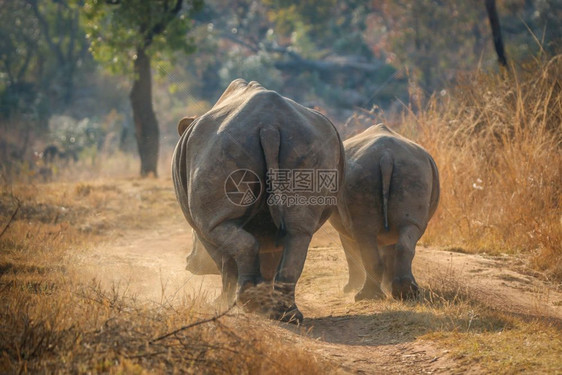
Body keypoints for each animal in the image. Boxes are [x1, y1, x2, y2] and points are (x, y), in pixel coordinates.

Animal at [172, 80, 346, 324]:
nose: (189, 264)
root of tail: (269, 127)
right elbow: (270, 257)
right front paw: (264, 306)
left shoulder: (203, 229)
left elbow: (225, 263)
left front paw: (222, 304)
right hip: (307, 143)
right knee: (298, 232)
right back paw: (288, 315)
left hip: (222, 148)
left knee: (222, 230)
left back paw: (250, 302)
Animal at [328, 125, 438, 302]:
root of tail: (386, 155)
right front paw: (388, 285)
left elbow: (351, 253)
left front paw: (349, 289)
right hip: (413, 169)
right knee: (408, 227)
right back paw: (406, 293)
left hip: (363, 172)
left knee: (364, 235)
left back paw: (366, 296)